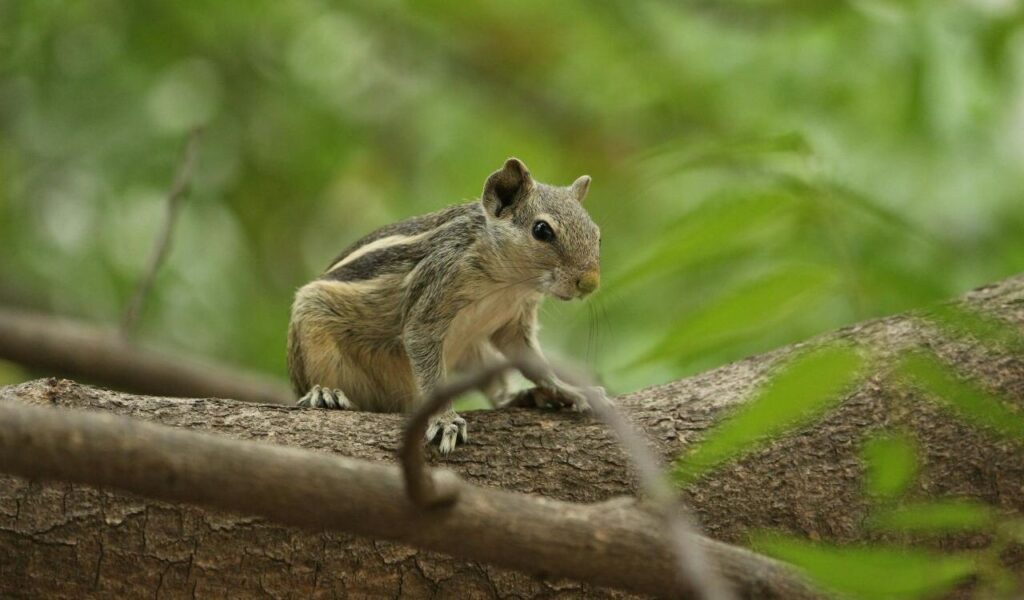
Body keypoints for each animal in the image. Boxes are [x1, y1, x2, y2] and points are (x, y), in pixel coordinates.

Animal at [287, 157, 601, 454]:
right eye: (541, 230)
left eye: (597, 233)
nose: (590, 283)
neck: (508, 284)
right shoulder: (435, 288)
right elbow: (423, 348)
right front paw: (445, 420)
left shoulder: (514, 322)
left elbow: (531, 361)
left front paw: (567, 389)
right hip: (312, 327)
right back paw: (324, 393)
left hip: (476, 354)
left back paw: (522, 397)